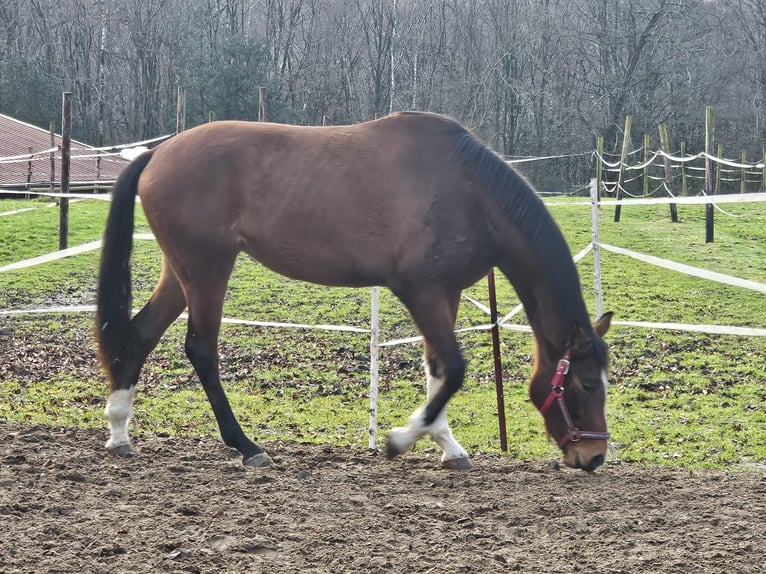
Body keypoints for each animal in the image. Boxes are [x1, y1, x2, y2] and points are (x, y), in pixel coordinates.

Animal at [96, 111, 612, 472]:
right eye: (587, 383)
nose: (594, 457)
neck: (467, 190)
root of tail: (158, 154)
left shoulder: (444, 294)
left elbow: (436, 370)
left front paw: (448, 446)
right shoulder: (421, 292)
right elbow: (454, 369)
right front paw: (401, 440)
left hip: (181, 271)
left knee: (140, 335)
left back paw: (119, 431)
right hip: (207, 270)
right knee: (200, 349)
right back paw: (246, 446)